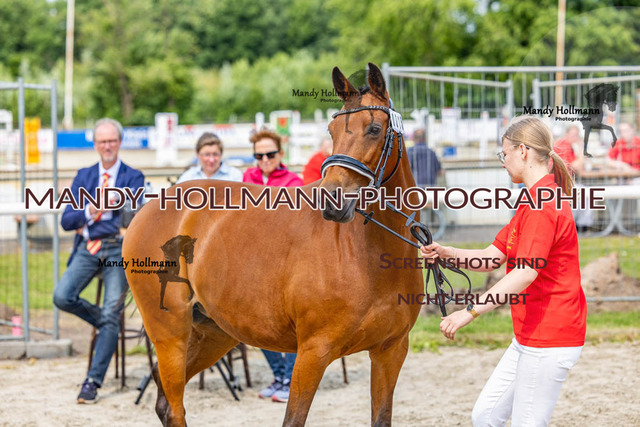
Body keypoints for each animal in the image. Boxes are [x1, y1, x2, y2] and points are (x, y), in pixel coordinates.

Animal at [123, 62, 424, 426]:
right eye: (332, 129)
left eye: (375, 128)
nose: (332, 201)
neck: (370, 256)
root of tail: (149, 208)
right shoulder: (312, 353)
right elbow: (293, 419)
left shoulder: (390, 352)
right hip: (170, 334)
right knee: (175, 406)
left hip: (214, 333)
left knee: (165, 401)